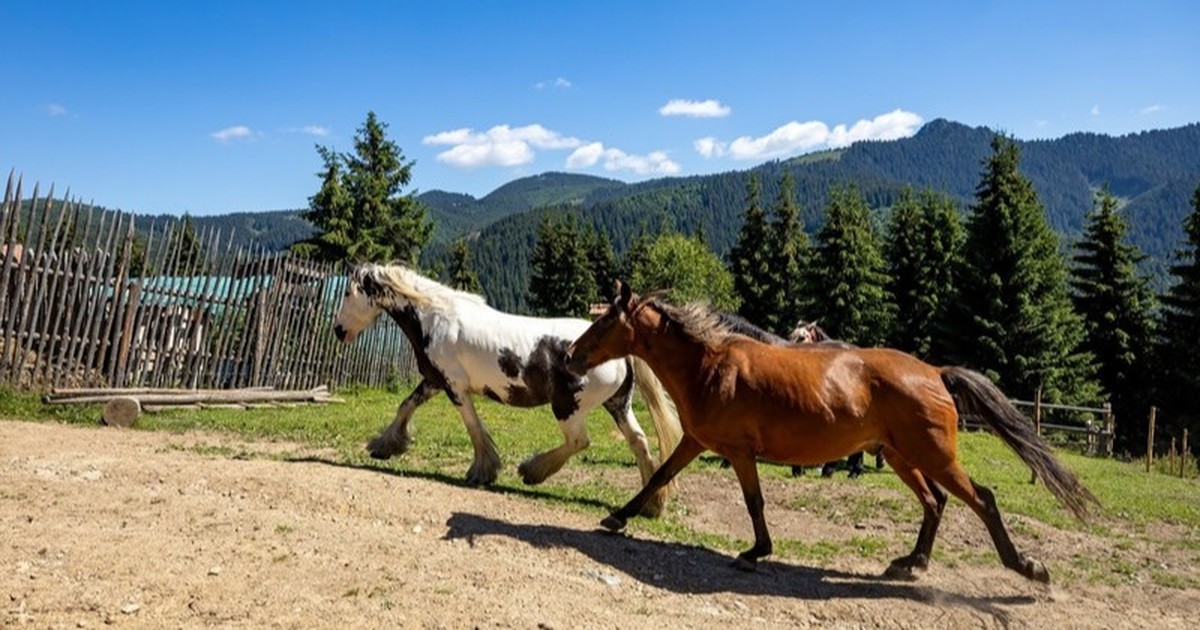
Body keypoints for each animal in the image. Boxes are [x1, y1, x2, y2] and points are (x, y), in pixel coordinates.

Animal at [333, 265, 686, 516]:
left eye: (348, 293)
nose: (338, 330)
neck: (435, 317)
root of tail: (624, 353)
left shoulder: (454, 387)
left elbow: (474, 427)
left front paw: (483, 471)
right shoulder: (434, 381)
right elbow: (405, 406)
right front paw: (384, 445)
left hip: (568, 407)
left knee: (579, 441)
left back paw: (532, 471)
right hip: (617, 404)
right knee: (639, 442)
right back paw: (651, 504)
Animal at [566, 282, 1099, 583]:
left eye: (605, 321)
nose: (571, 355)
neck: (709, 366)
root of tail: (935, 372)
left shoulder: (739, 452)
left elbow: (754, 502)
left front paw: (755, 552)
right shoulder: (698, 442)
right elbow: (659, 476)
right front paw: (618, 517)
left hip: (934, 457)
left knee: (981, 499)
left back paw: (1025, 567)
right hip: (903, 457)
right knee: (935, 502)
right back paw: (911, 563)